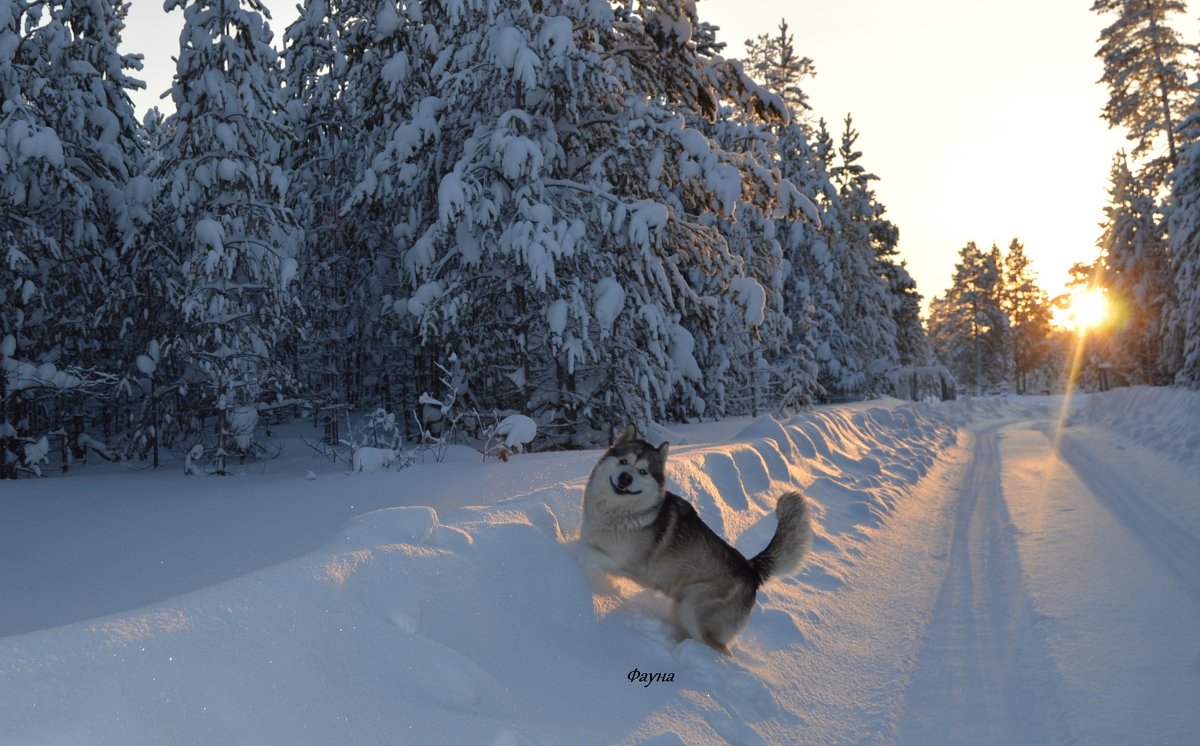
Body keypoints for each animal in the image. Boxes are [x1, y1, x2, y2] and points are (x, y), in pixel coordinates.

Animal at [583, 426, 816, 652]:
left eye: (643, 471)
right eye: (623, 461)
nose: (625, 477)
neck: (619, 513)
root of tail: (752, 569)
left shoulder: (632, 568)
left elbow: (590, 552)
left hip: (694, 612)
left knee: (721, 650)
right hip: (684, 608)